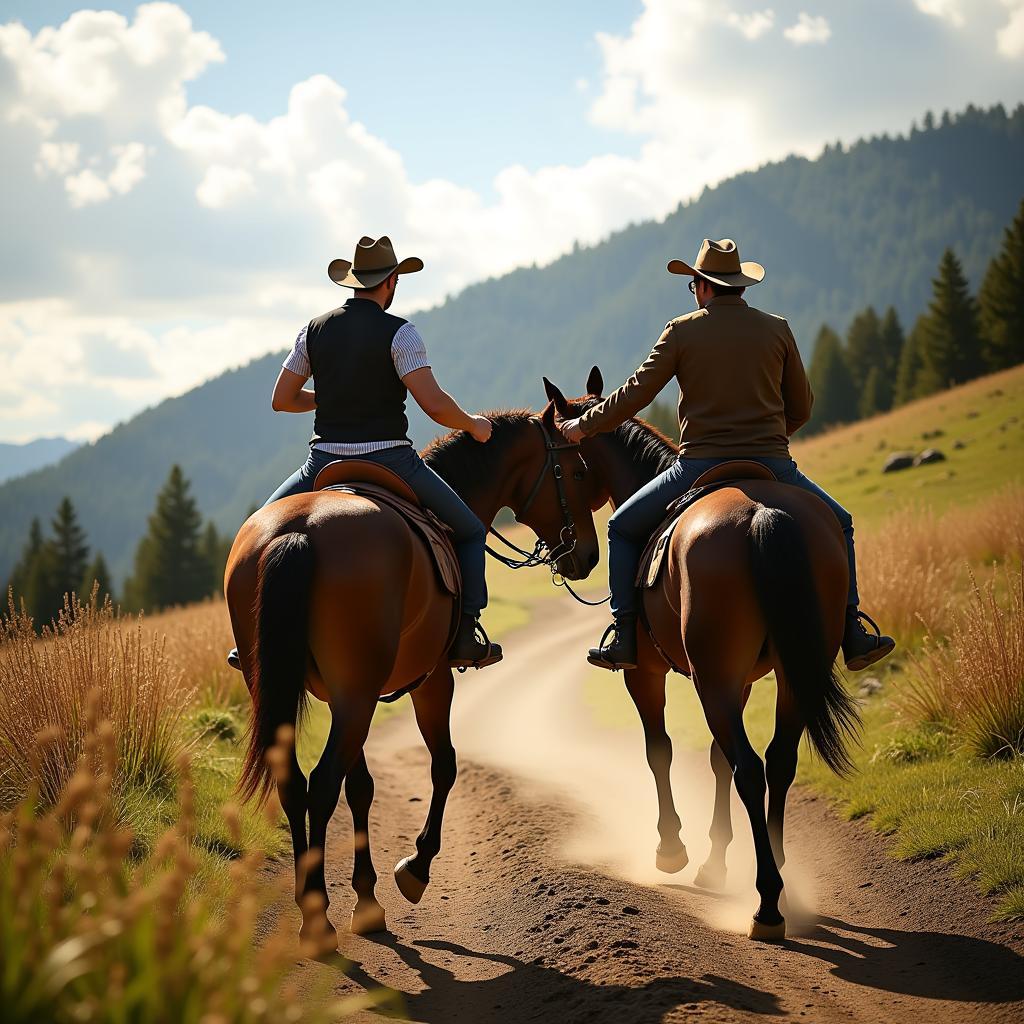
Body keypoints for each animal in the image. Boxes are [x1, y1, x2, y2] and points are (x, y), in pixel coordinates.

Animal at [224, 403, 598, 946]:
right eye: (577, 471)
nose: (588, 555)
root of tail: (301, 530)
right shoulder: (433, 680)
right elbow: (444, 766)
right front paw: (416, 868)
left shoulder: (344, 696)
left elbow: (362, 787)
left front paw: (368, 899)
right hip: (362, 695)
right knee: (321, 784)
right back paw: (317, 917)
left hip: (312, 692)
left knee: (295, 781)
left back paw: (312, 907)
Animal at [544, 372, 856, 937]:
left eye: (564, 468)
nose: (575, 557)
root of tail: (762, 514)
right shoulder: (743, 679)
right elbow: (715, 758)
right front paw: (714, 861)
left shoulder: (645, 674)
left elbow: (659, 750)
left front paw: (672, 849)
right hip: (786, 676)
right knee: (777, 762)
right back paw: (778, 872)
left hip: (712, 681)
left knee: (751, 768)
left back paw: (768, 902)